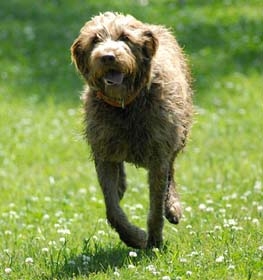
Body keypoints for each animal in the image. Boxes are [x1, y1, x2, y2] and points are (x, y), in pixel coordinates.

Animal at [71, 12, 193, 248]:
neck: (125, 105)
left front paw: (154, 241)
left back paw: (172, 205)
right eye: (95, 40)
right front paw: (134, 237)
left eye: (125, 37)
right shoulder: (104, 152)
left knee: (171, 169)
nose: (108, 57)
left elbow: (156, 205)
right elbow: (112, 208)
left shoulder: (158, 154)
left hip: (180, 132)